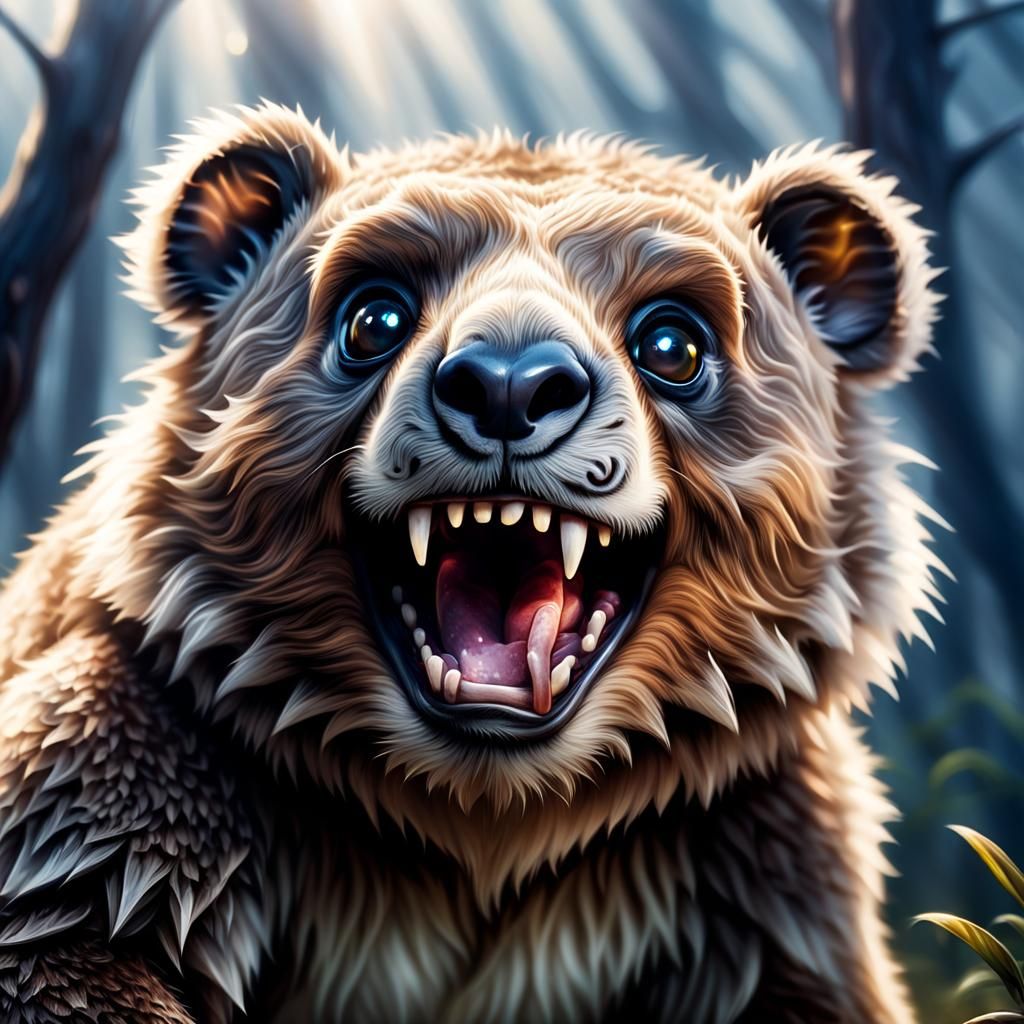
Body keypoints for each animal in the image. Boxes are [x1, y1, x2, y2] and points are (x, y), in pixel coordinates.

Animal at [0, 103, 944, 1023]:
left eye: (673, 343)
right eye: (373, 318)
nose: (508, 385)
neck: (486, 822)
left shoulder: (759, 869)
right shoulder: (132, 773)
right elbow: (63, 938)